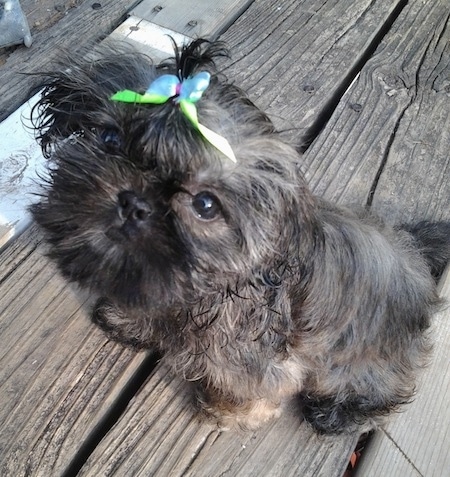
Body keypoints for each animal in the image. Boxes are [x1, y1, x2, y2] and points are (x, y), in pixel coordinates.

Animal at [29, 41, 448, 434]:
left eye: (205, 204)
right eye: (109, 138)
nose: (134, 202)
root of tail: (415, 254)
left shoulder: (263, 362)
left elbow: (250, 390)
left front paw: (225, 411)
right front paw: (130, 321)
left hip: (360, 361)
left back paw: (336, 412)